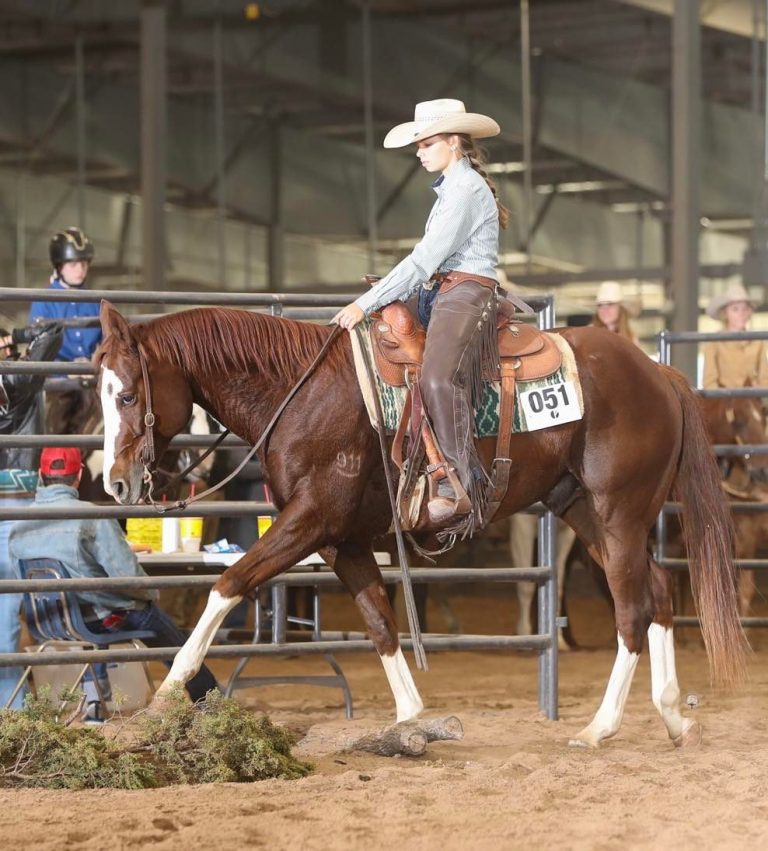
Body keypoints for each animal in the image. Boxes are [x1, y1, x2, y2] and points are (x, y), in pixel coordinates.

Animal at [95, 301, 748, 749]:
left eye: (126, 396)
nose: (117, 484)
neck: (300, 393)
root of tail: (659, 374)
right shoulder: (343, 541)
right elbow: (380, 624)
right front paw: (412, 718)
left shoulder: (309, 521)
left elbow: (228, 583)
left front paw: (168, 694)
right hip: (584, 511)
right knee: (657, 591)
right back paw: (672, 716)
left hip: (617, 511)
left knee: (632, 608)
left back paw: (600, 727)